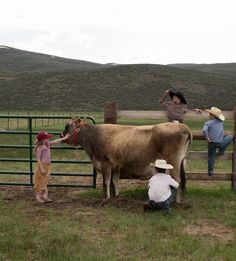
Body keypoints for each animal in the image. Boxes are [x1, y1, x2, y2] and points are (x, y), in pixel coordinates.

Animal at [61, 117, 192, 202]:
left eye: (67, 126)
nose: (61, 136)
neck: (95, 136)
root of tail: (182, 126)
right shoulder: (116, 165)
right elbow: (115, 180)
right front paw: (117, 196)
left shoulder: (105, 163)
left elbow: (107, 181)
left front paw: (107, 198)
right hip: (181, 161)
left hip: (174, 162)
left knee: (178, 180)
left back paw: (176, 201)